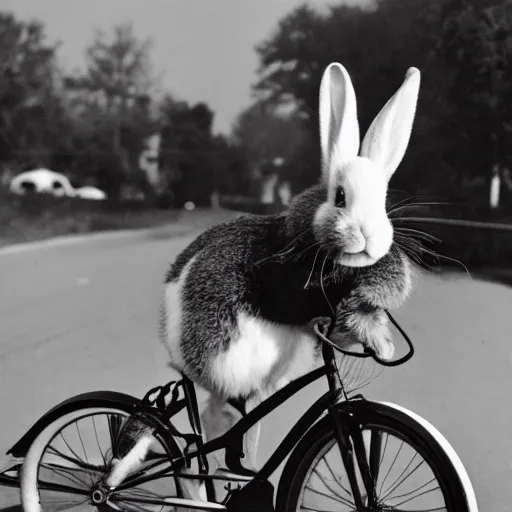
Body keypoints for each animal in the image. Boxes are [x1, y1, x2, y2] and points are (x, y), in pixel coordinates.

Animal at [159, 62, 420, 502]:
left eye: (384, 203)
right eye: (339, 197)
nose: (369, 239)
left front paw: (379, 339)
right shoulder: (282, 277)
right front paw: (374, 332)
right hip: (228, 362)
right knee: (215, 420)